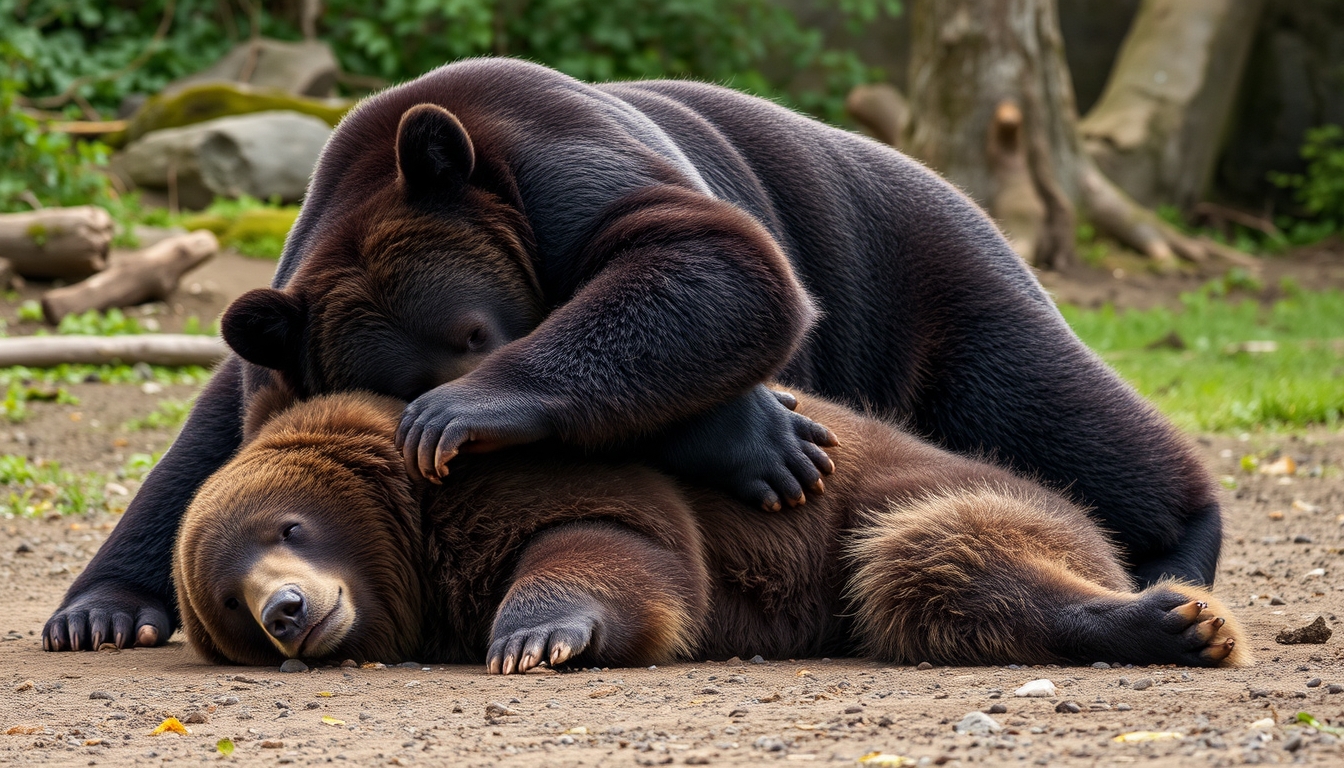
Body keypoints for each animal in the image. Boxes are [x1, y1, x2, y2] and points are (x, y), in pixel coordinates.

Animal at [173, 387, 1241, 669]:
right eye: (227, 598)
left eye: (290, 527)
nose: (285, 611)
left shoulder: (518, 480)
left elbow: (618, 542)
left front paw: (536, 639)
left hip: (944, 496)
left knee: (929, 557)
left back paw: (1180, 620)